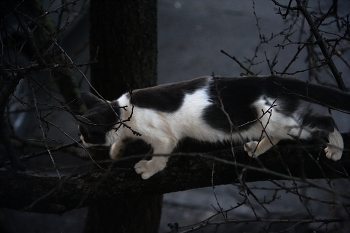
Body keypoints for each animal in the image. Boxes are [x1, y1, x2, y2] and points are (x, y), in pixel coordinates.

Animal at [76, 75, 348, 179]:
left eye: (85, 133)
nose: (81, 141)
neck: (122, 110)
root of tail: (271, 79)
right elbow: (124, 138)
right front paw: (117, 150)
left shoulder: (164, 135)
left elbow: (162, 151)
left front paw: (148, 168)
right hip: (268, 120)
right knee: (277, 134)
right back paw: (256, 148)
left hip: (272, 115)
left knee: (323, 121)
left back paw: (336, 149)